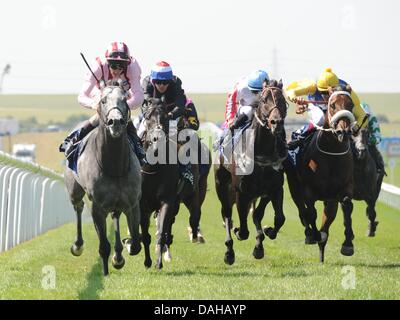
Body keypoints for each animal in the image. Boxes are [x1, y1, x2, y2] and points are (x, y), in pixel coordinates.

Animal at [67, 82, 144, 276]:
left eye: (125, 99)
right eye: (102, 100)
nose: (115, 122)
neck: (114, 167)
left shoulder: (132, 203)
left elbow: (137, 243)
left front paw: (123, 250)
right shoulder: (98, 207)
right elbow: (103, 246)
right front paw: (106, 271)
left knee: (115, 215)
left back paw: (118, 254)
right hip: (74, 191)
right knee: (78, 206)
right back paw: (78, 246)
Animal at [216, 80, 288, 264]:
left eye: (283, 100)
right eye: (263, 100)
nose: (276, 122)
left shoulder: (274, 189)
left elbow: (279, 218)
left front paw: (267, 234)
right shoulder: (242, 192)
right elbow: (243, 230)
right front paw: (238, 233)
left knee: (255, 214)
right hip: (222, 186)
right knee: (227, 214)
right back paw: (229, 251)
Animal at [284, 85, 356, 262]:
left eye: (351, 105)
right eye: (333, 105)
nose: (343, 132)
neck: (332, 154)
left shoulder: (344, 188)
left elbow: (347, 206)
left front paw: (348, 244)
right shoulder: (309, 190)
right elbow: (310, 213)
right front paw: (314, 235)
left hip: (330, 199)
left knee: (327, 218)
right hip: (294, 185)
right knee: (302, 210)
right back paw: (311, 234)